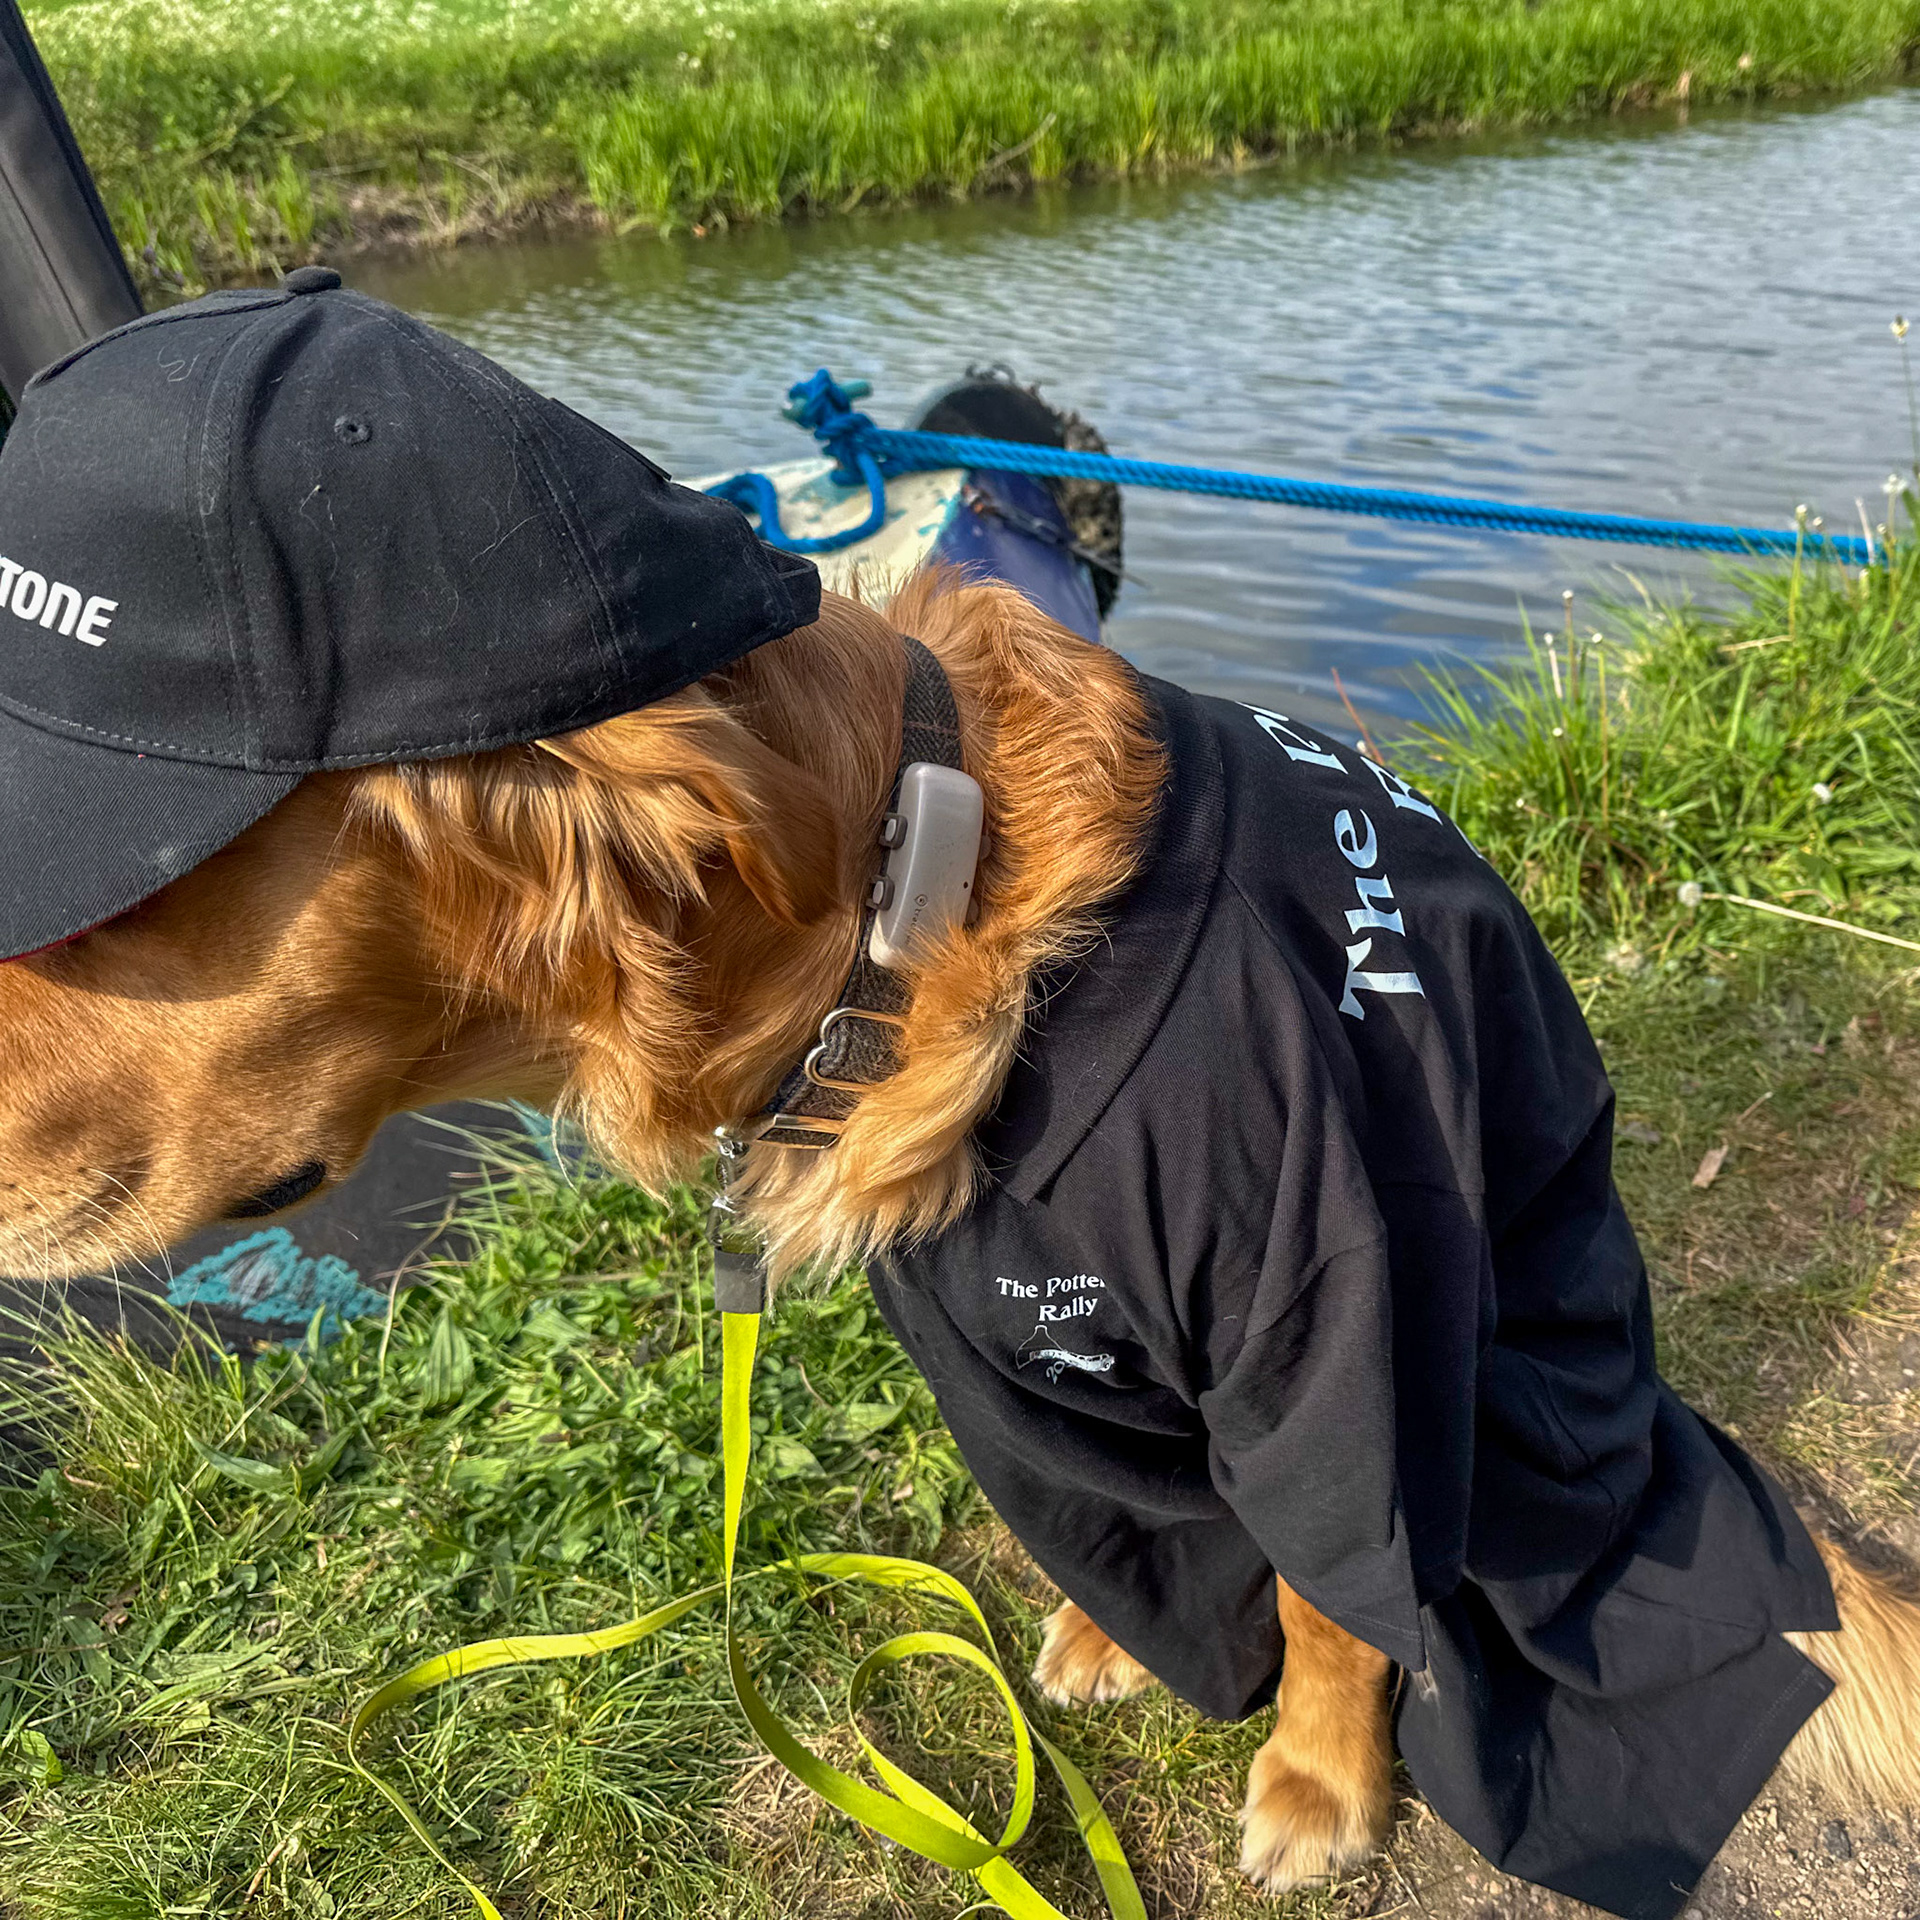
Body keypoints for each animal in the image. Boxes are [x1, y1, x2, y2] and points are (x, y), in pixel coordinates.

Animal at [1, 572, 1917, 1908]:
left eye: (136, 904)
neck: (910, 900)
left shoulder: (1337, 1297)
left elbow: (1335, 1581)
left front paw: (1317, 1782)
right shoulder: (1000, 1355)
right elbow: (1134, 1521)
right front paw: (1119, 1642)